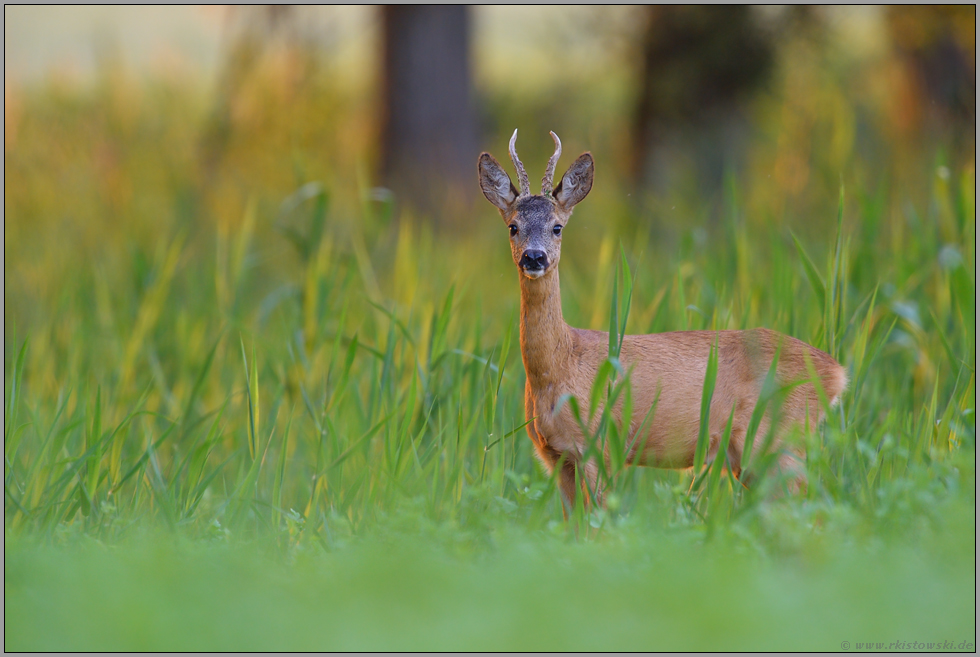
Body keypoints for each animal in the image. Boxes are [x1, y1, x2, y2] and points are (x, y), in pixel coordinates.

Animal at [478, 128, 848, 508]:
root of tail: (837, 373)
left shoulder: (600, 445)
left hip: (778, 438)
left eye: (557, 227)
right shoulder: (555, 456)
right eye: (513, 227)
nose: (533, 257)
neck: (561, 366)